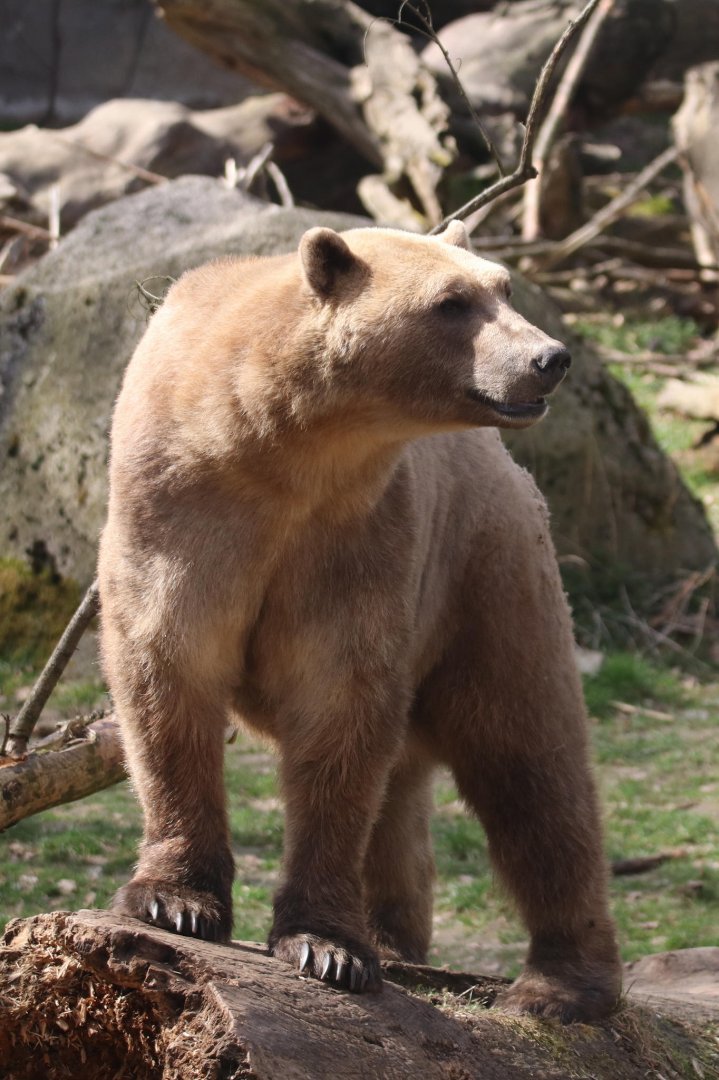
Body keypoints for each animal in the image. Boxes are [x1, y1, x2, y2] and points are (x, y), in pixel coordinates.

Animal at [98, 219, 621, 1022]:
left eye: (501, 286)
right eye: (450, 301)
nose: (548, 358)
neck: (283, 445)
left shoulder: (360, 541)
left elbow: (339, 714)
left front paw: (328, 947)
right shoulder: (180, 514)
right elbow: (168, 676)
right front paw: (174, 901)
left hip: (483, 580)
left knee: (532, 763)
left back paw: (562, 985)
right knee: (425, 787)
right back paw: (401, 938)